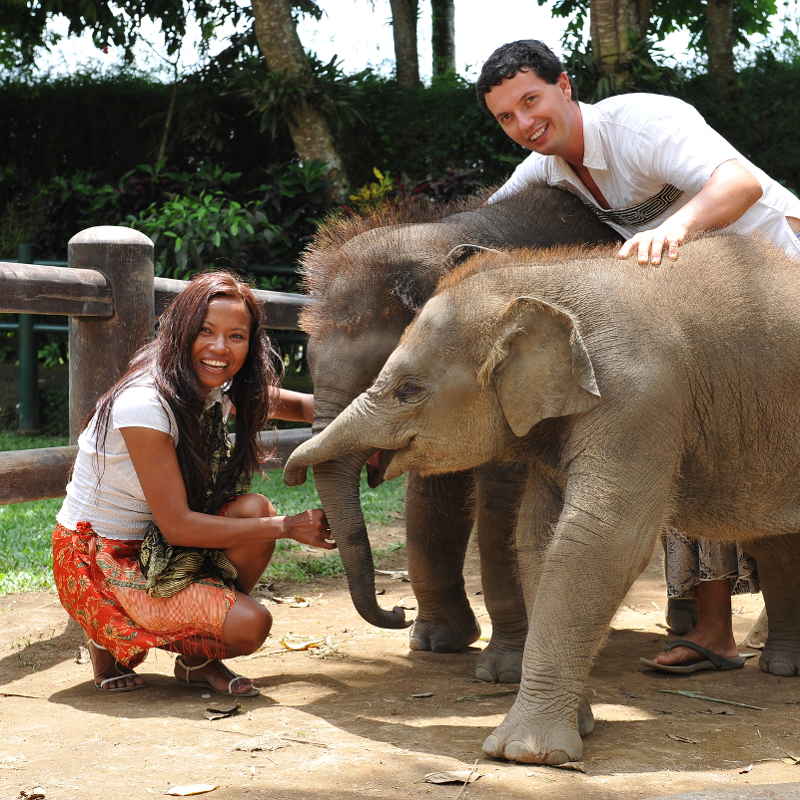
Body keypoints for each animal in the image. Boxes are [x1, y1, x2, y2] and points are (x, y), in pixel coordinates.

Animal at [286, 236, 800, 764]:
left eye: (408, 390)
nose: (398, 613)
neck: (543, 278)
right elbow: (538, 538)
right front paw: (579, 727)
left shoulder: (641, 401)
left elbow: (600, 539)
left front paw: (524, 752)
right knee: (777, 538)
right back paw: (782, 668)